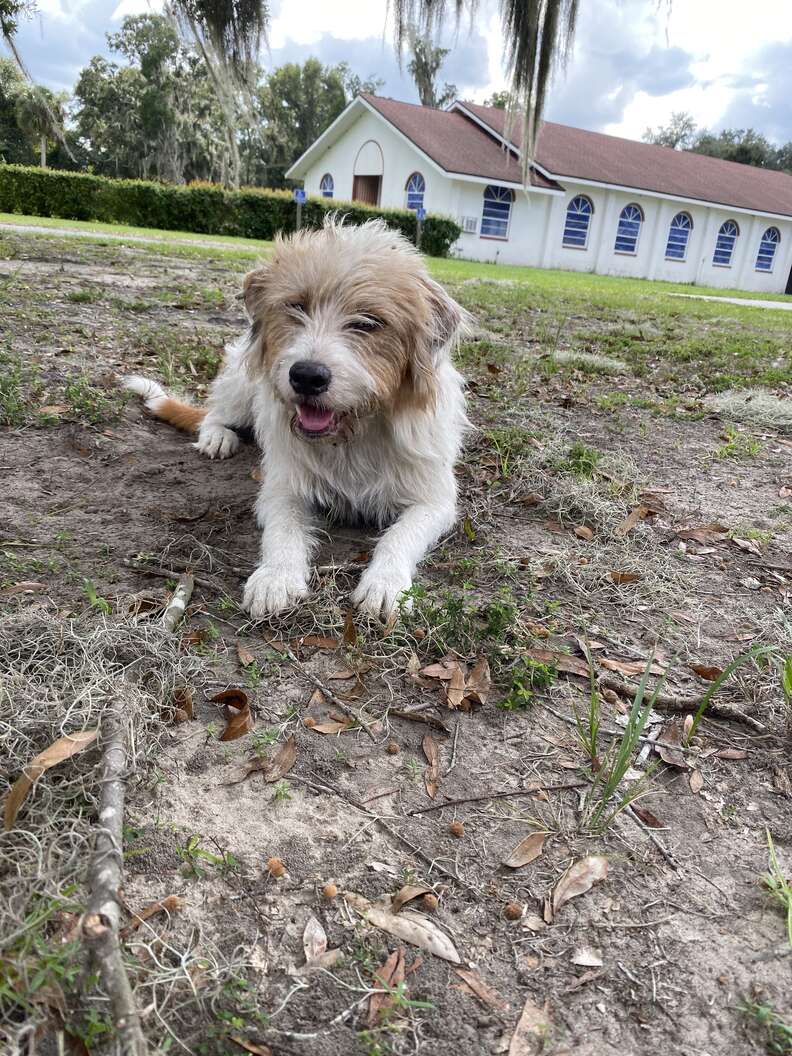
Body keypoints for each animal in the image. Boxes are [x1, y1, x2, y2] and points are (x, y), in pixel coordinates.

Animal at [124, 219, 468, 620]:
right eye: (296, 306)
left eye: (368, 323)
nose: (306, 376)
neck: (353, 434)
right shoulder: (282, 486)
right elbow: (283, 530)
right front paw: (276, 576)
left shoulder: (434, 500)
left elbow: (400, 535)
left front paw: (386, 583)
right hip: (243, 383)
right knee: (215, 412)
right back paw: (217, 436)